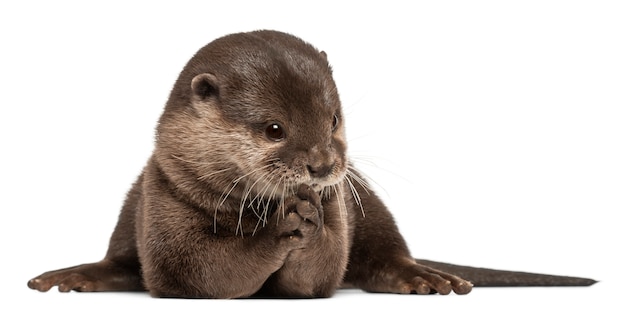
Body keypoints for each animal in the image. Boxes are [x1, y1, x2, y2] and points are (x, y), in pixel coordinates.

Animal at [25, 29, 596, 298]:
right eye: (274, 129)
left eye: (334, 119)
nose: (321, 167)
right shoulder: (168, 194)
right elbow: (195, 271)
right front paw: (280, 227)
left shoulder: (344, 208)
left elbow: (317, 277)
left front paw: (311, 217)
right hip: (135, 204)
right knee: (123, 261)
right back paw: (78, 276)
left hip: (370, 206)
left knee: (386, 254)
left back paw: (423, 277)